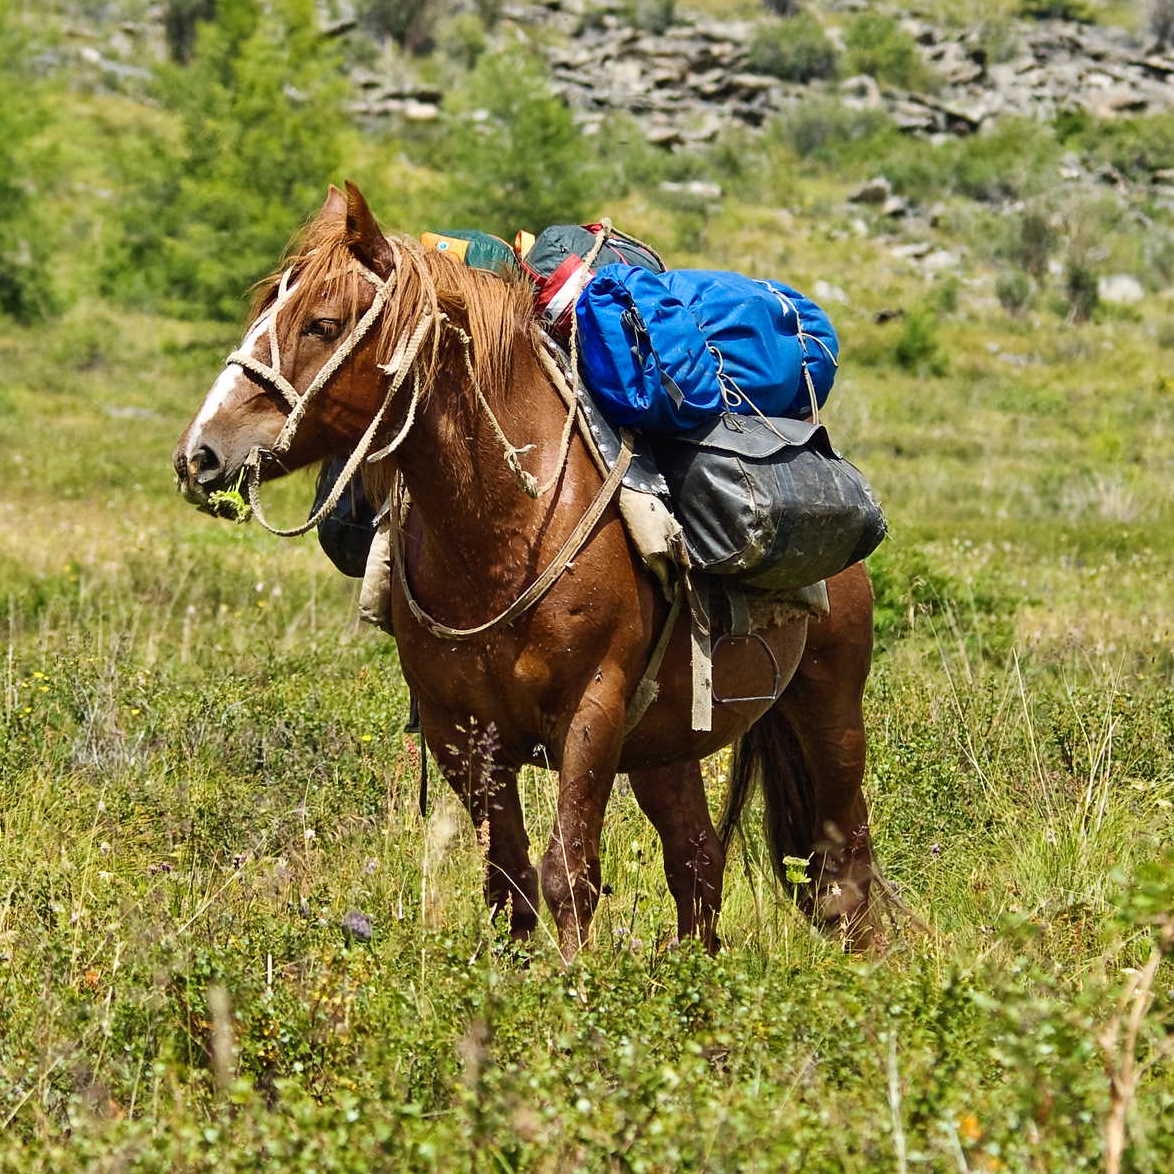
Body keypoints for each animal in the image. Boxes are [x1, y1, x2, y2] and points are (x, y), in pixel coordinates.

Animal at [173, 180, 882, 953]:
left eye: (323, 325)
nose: (200, 454)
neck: (502, 536)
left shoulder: (590, 715)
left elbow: (569, 876)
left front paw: (573, 985)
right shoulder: (462, 733)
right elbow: (507, 885)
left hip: (829, 708)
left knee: (844, 863)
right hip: (666, 749)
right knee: (698, 862)